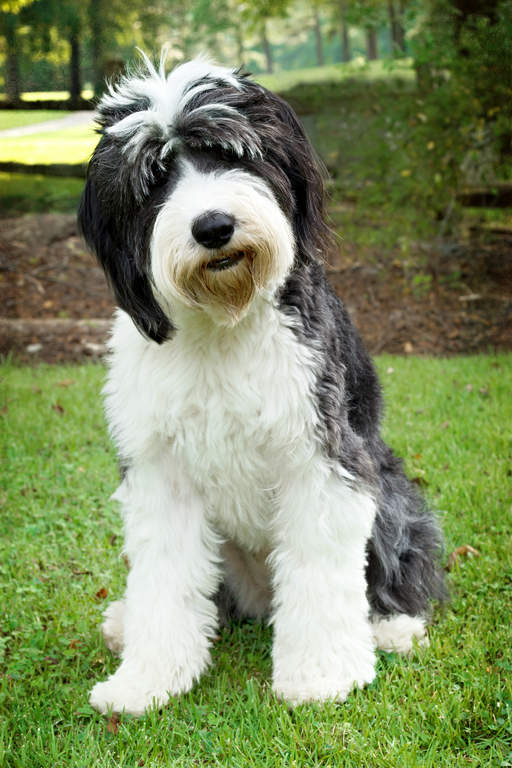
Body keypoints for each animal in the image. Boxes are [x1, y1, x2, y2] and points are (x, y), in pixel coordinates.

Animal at [78, 52, 446, 712]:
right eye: (155, 177)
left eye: (229, 153)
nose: (213, 226)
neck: (224, 322)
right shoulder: (160, 476)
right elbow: (163, 580)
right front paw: (147, 679)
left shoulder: (324, 457)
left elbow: (322, 571)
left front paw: (323, 674)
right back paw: (125, 622)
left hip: (389, 493)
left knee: (399, 558)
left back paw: (393, 625)